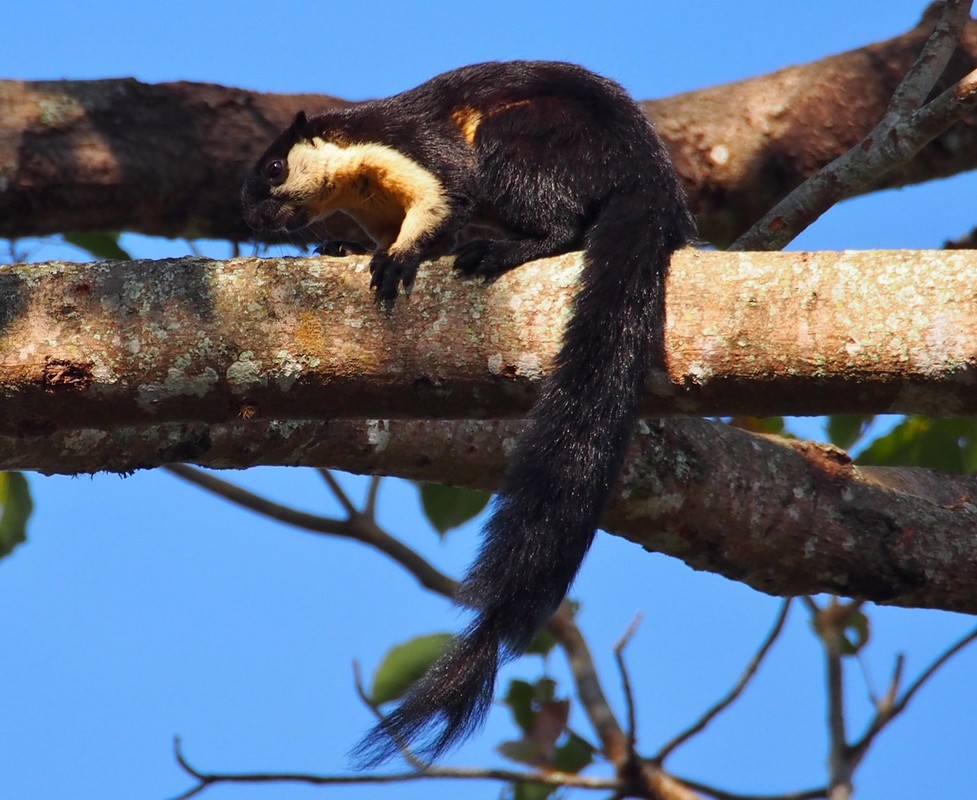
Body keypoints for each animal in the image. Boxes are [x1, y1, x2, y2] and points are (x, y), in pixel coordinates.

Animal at [240, 61, 692, 764]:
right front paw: (341, 251)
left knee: (561, 225)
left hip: (525, 142)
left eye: (273, 168)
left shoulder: (414, 151)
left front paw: (399, 259)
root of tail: (652, 179)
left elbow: (440, 205)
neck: (359, 186)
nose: (253, 213)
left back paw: (499, 251)